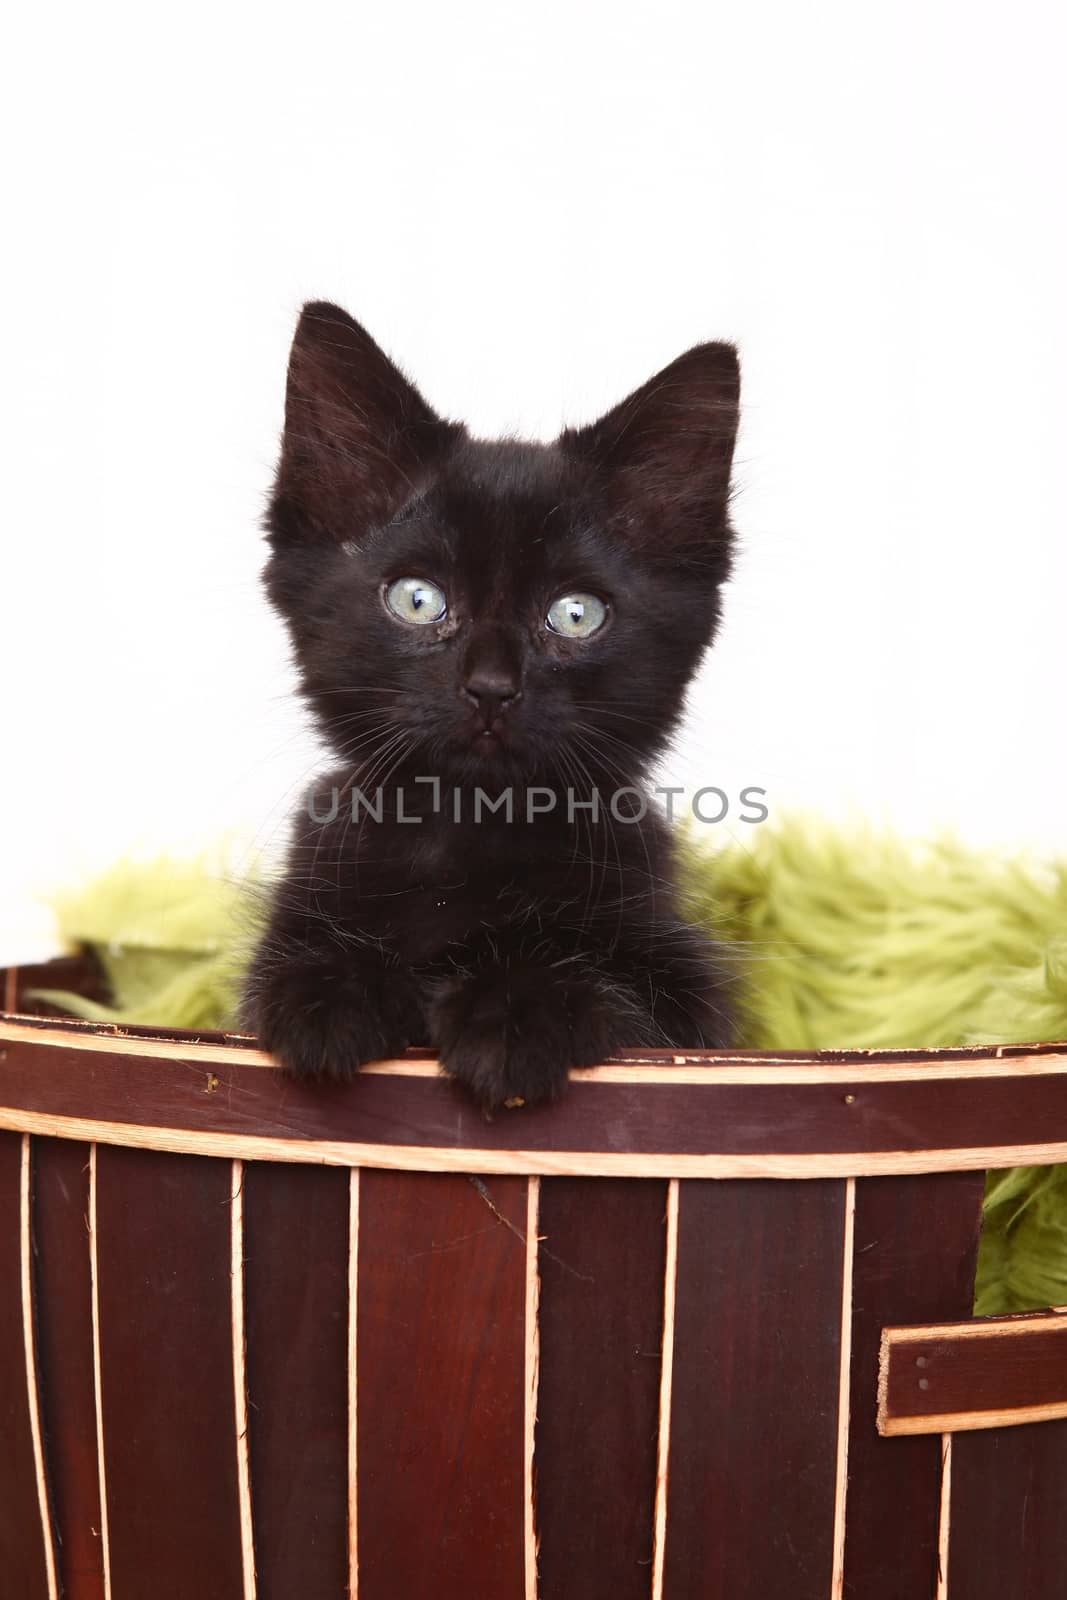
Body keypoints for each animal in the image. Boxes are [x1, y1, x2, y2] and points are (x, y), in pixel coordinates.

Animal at [241, 300, 742, 1107]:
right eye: (417, 600)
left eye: (575, 614)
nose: (490, 687)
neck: (469, 832)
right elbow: (285, 972)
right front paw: (329, 993)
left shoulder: (686, 993)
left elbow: (627, 996)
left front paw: (516, 1012)